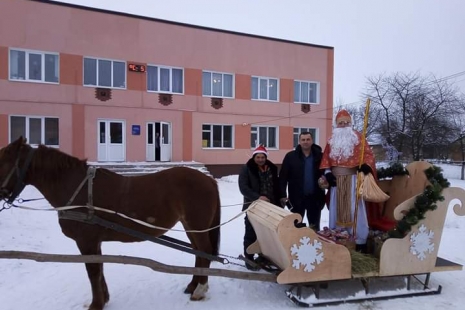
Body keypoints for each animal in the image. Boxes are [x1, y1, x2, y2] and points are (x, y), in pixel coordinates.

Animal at [0, 138, 220, 310]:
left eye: (2, 160)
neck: (78, 188)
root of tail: (208, 180)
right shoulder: (94, 241)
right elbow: (100, 268)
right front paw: (104, 299)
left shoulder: (86, 241)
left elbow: (93, 271)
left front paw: (96, 304)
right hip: (191, 226)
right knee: (199, 252)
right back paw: (193, 285)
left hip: (197, 226)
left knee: (204, 251)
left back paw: (200, 289)